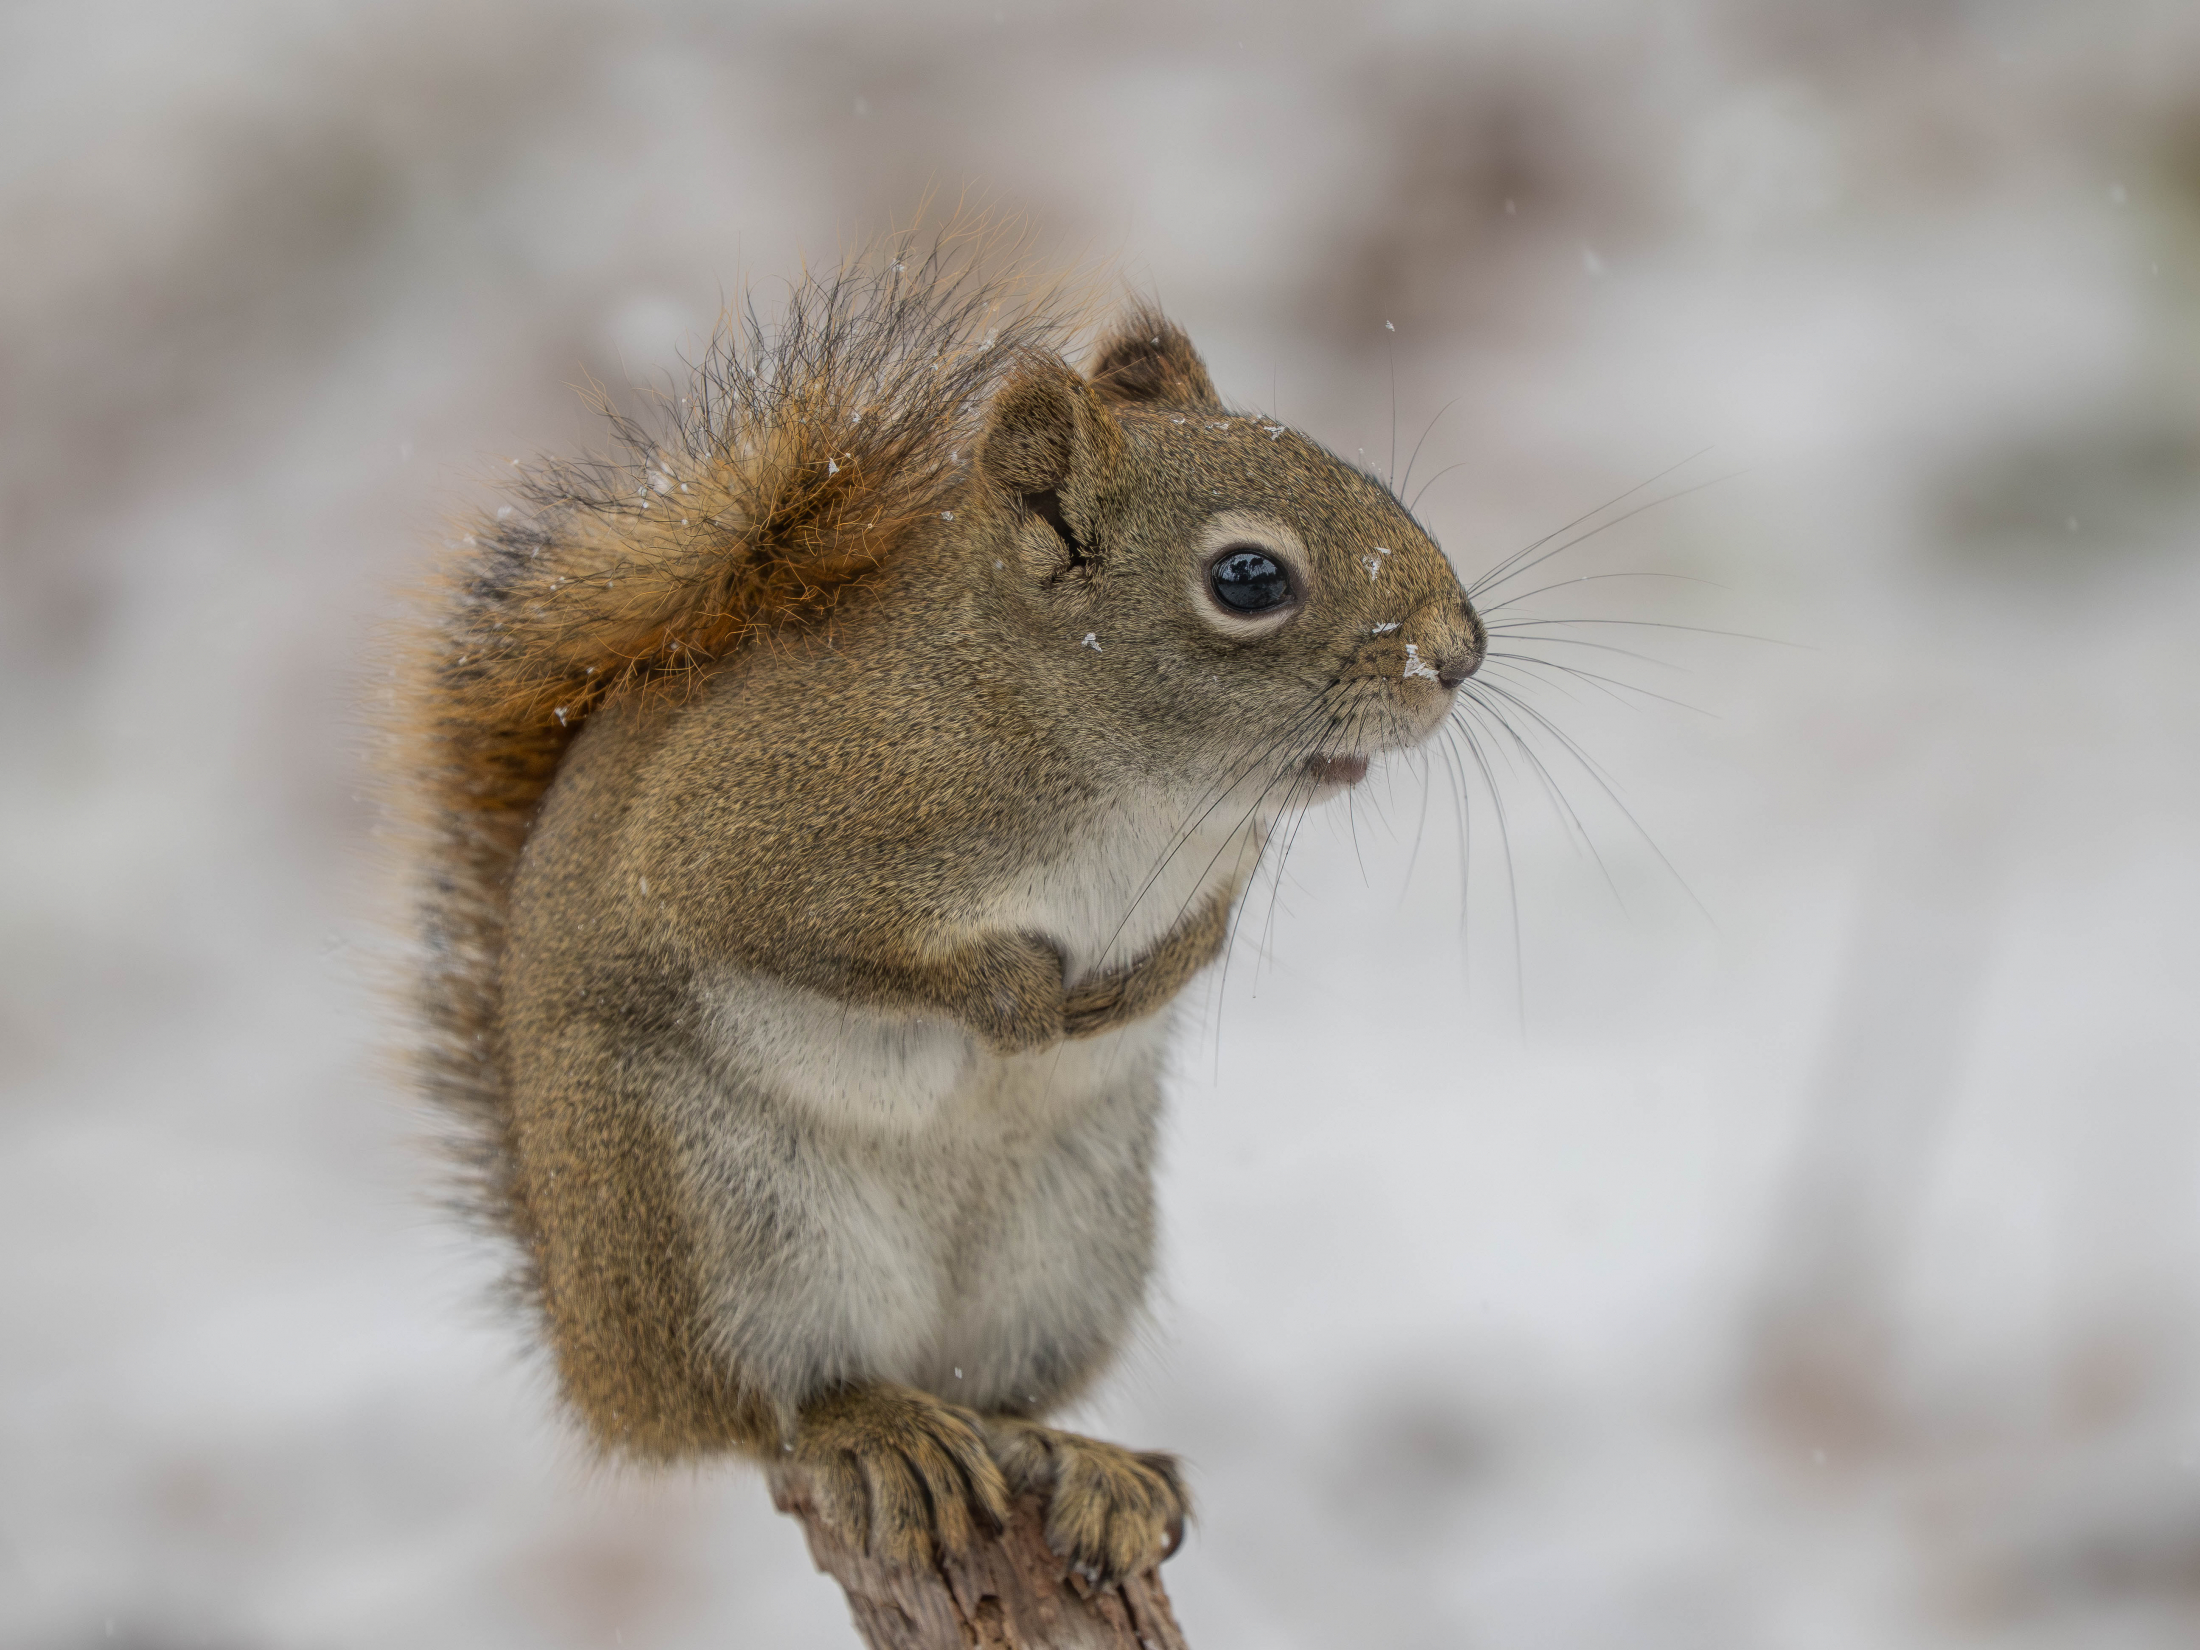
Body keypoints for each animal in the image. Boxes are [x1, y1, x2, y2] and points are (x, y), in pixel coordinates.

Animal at [397, 233, 1485, 1584]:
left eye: (1364, 476)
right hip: (714, 1230)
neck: (1129, 774)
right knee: (767, 1414)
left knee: (995, 1400)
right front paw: (1013, 999)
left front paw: (1124, 994)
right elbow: (817, 940)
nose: (1460, 652)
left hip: (1061, 1255)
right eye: (1248, 578)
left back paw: (1074, 1457)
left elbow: (1195, 943)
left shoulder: (1217, 868)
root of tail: (598, 1367)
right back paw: (873, 1429)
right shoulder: (750, 830)